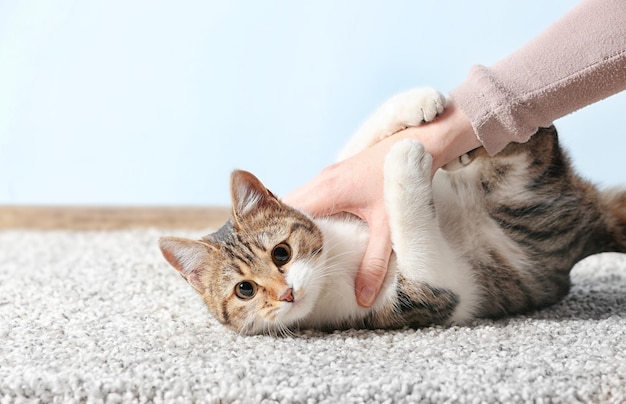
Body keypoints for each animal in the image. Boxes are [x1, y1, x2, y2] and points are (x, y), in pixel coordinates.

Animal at [157, 87, 624, 334]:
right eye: (245, 290)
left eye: (281, 253)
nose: (286, 293)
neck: (337, 264)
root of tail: (592, 217)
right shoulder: (429, 294)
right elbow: (418, 241)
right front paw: (403, 159)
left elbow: (354, 153)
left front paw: (413, 105)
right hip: (527, 200)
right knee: (539, 146)